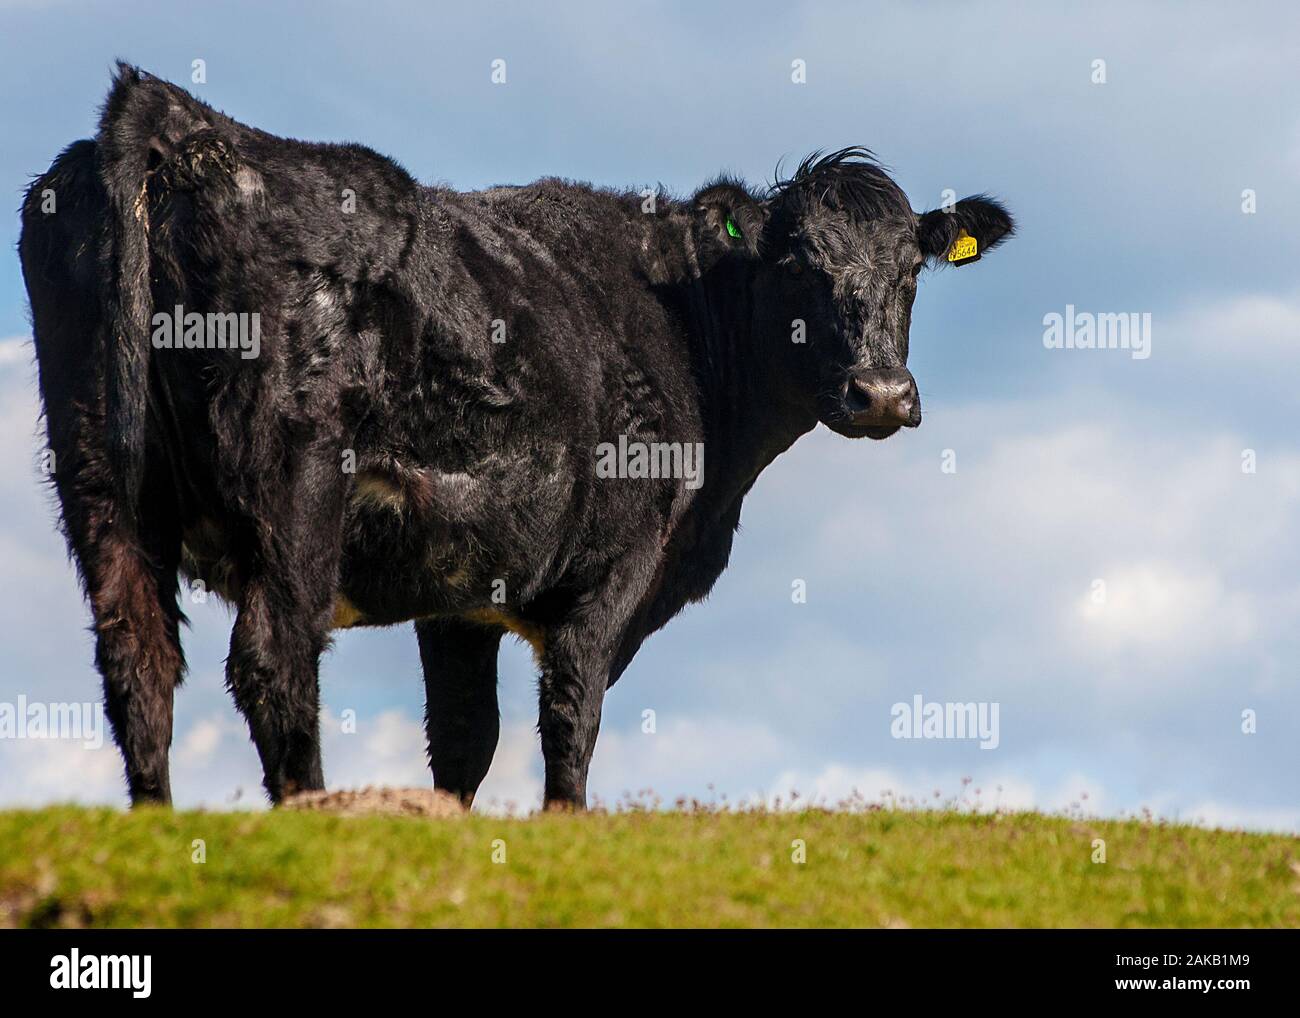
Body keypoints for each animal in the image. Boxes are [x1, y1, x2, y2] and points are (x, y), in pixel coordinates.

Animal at [22, 63, 1013, 811]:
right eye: (800, 264)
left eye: (911, 270)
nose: (881, 392)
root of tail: (179, 117)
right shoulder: (611, 570)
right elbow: (570, 719)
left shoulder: (458, 590)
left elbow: (465, 739)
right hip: (295, 485)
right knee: (273, 656)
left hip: (96, 471)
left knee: (139, 657)